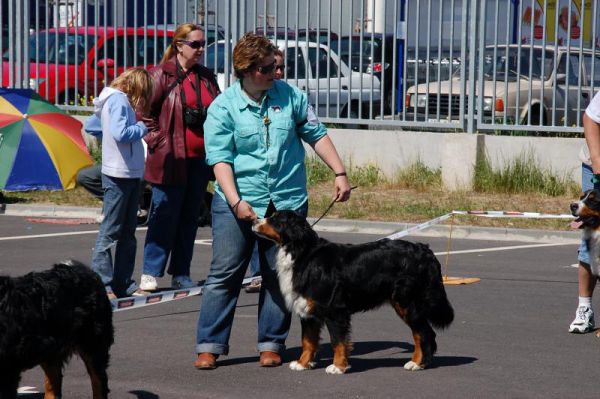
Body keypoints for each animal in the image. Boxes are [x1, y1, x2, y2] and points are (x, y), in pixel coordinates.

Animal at [0, 260, 113, 398]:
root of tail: (83, 269)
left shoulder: (8, 370)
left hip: (92, 344)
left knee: (99, 381)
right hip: (50, 350)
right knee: (54, 385)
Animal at [253, 212, 454, 376]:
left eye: (275, 219)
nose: (254, 220)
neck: (303, 254)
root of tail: (425, 250)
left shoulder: (335, 311)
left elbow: (338, 341)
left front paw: (338, 367)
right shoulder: (308, 311)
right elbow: (308, 341)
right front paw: (303, 364)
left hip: (406, 303)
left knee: (424, 333)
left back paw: (417, 363)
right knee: (423, 333)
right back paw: (421, 362)